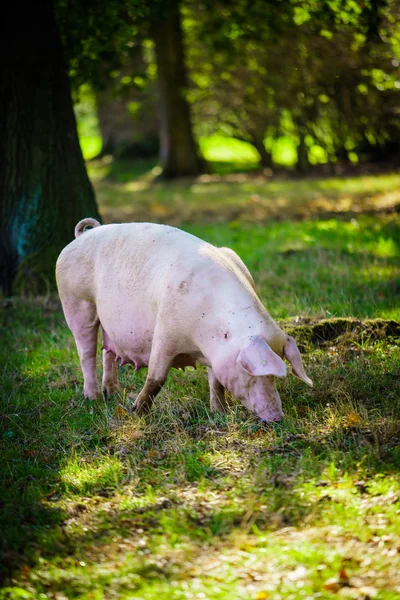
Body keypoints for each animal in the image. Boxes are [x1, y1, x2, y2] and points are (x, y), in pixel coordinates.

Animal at [56, 219, 312, 422]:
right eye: (254, 372)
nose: (277, 417)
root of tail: (80, 236)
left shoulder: (215, 354)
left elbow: (216, 382)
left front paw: (220, 412)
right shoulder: (165, 332)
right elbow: (156, 378)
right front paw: (136, 412)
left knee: (106, 350)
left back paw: (112, 393)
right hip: (76, 302)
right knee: (86, 351)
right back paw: (94, 398)